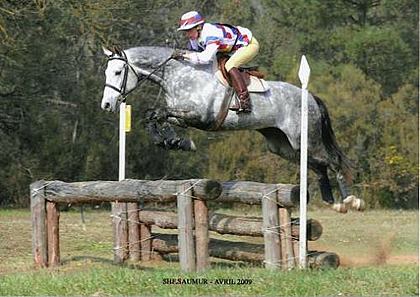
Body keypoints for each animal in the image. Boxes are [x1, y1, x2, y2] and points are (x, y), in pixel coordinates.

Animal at [101, 45, 364, 212]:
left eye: (118, 72)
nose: (107, 105)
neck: (178, 74)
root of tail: (311, 97)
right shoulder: (182, 116)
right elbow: (153, 116)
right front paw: (175, 142)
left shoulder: (199, 115)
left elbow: (158, 114)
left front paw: (177, 142)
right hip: (283, 146)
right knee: (318, 165)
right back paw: (334, 202)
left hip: (305, 138)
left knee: (331, 161)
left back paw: (351, 201)